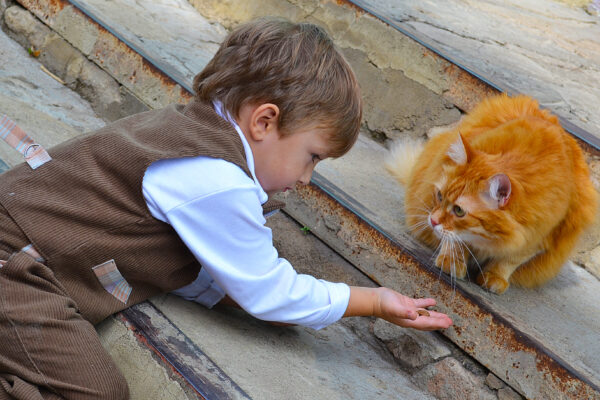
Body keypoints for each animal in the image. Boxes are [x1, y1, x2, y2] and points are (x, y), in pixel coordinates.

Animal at [386, 94, 596, 294]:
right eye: (439, 196)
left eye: (459, 211)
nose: (433, 221)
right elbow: (457, 242)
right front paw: (452, 261)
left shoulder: (537, 238)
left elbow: (508, 261)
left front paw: (495, 277)